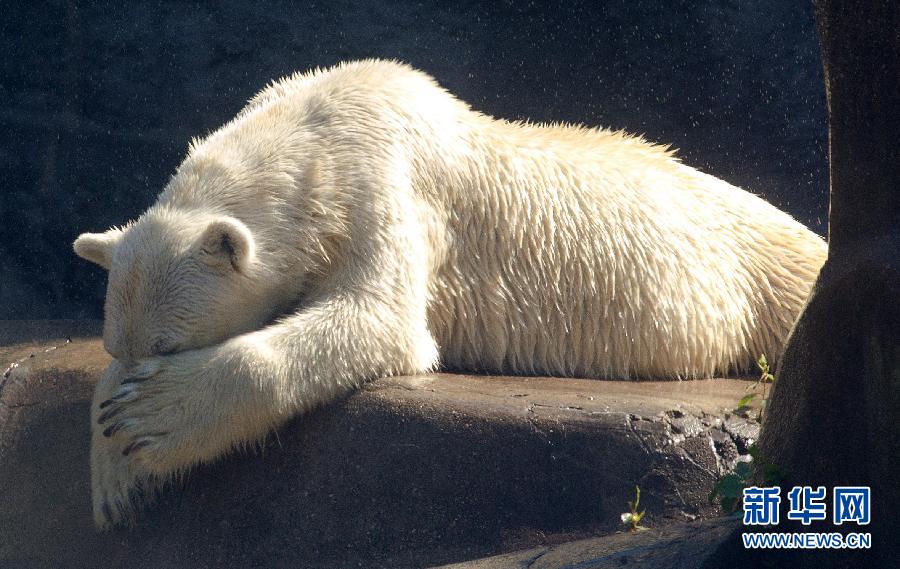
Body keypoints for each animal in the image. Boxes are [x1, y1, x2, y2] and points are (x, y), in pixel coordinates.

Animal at [74, 58, 828, 528]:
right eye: (117, 343)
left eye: (169, 344)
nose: (132, 372)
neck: (314, 125)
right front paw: (113, 475)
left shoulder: (382, 183)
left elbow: (377, 321)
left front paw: (151, 419)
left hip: (775, 277)